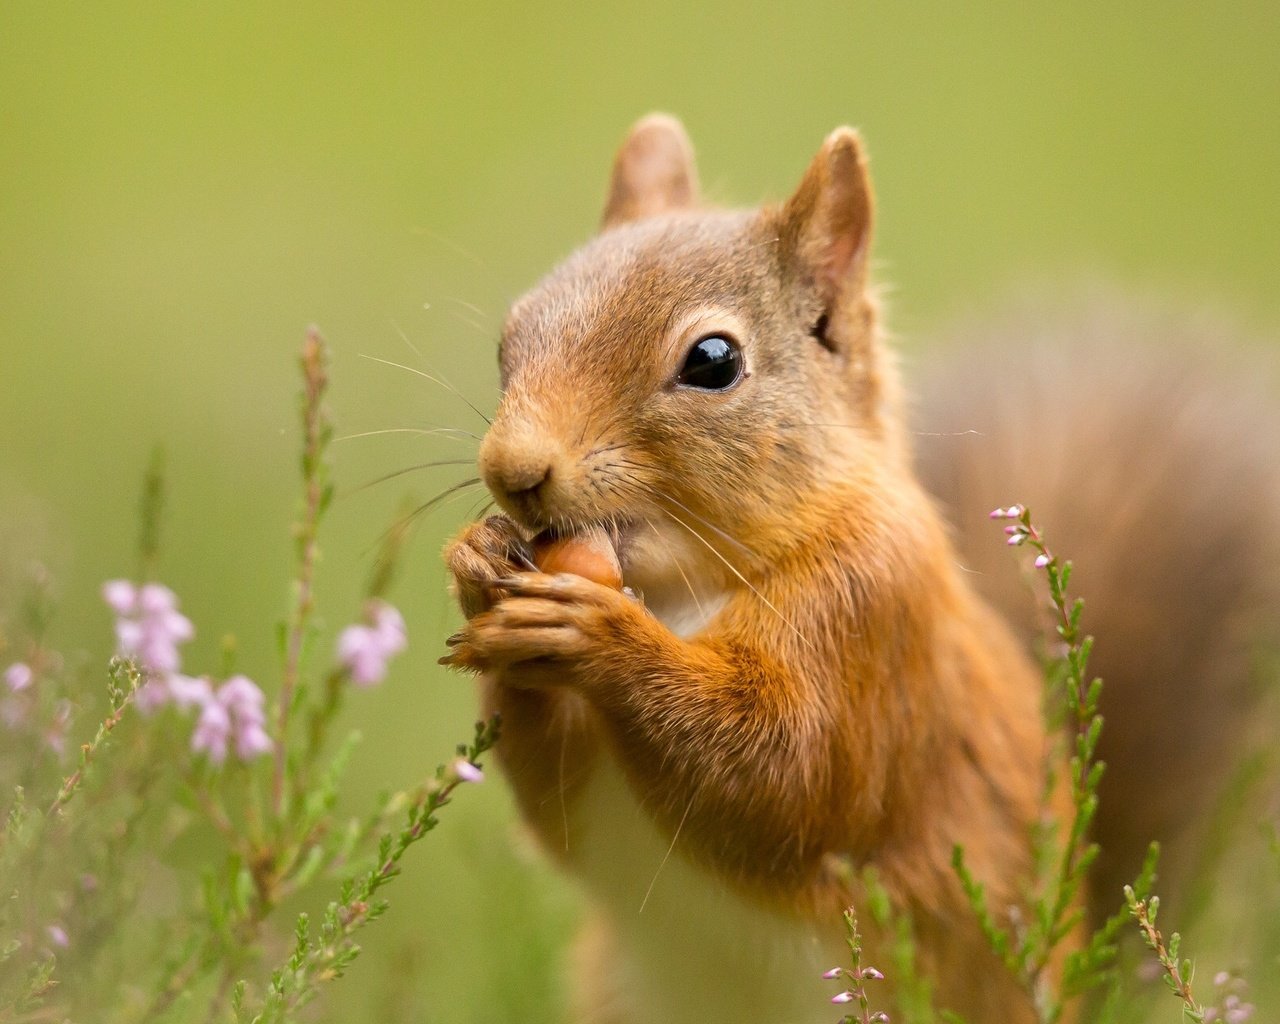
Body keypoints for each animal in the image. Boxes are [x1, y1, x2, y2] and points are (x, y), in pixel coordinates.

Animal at [442, 113, 1280, 1024]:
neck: (681, 590)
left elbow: (784, 775)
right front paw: (479, 566)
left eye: (712, 361)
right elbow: (556, 803)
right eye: (509, 337)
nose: (513, 471)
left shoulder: (871, 616)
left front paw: (597, 634)